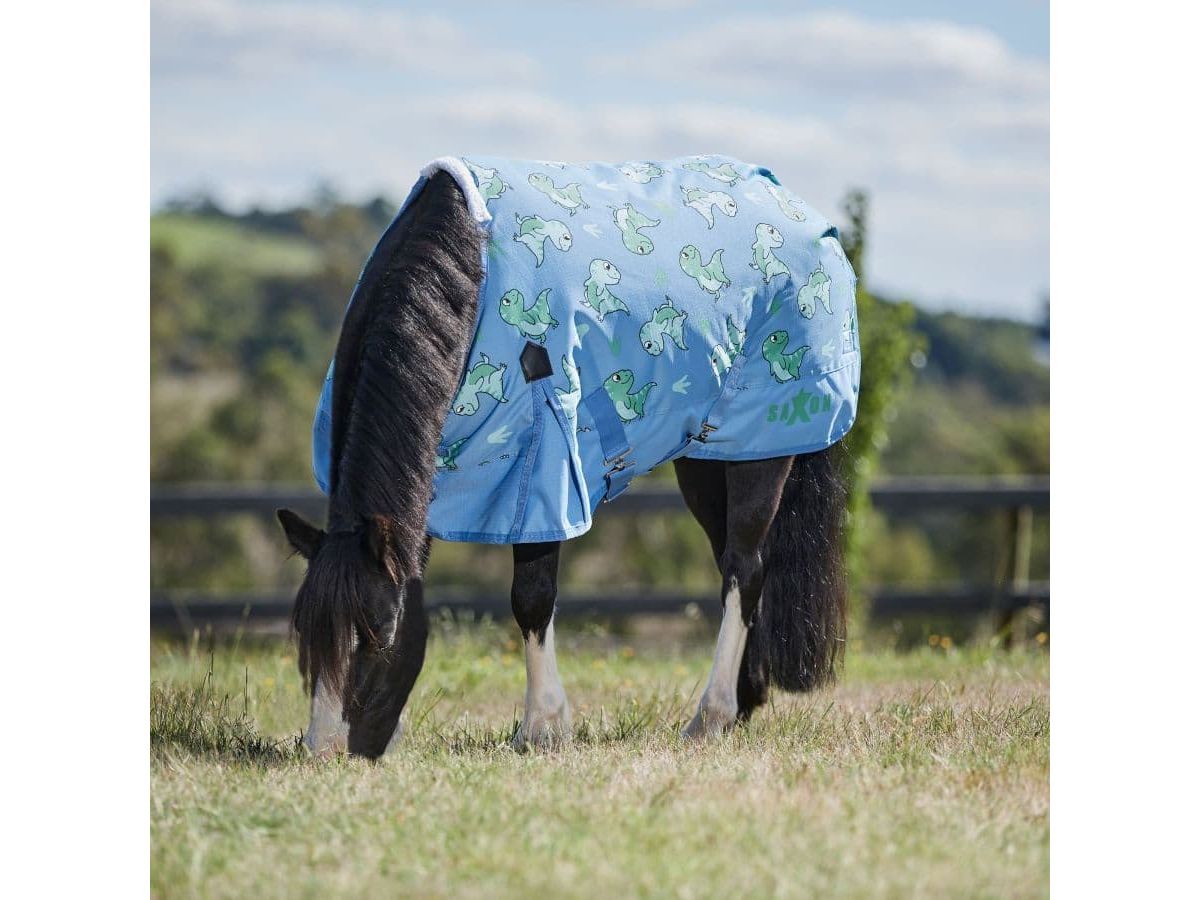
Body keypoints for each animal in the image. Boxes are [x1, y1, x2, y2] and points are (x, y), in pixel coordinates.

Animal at [277, 160, 853, 758]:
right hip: (709, 457)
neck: (471, 275)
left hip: (765, 450)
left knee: (746, 567)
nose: (323, 751)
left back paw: (711, 716)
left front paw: (542, 727)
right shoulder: (436, 480)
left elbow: (531, 598)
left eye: (380, 635)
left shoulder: (542, 468)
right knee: (734, 565)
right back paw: (744, 702)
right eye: (308, 642)